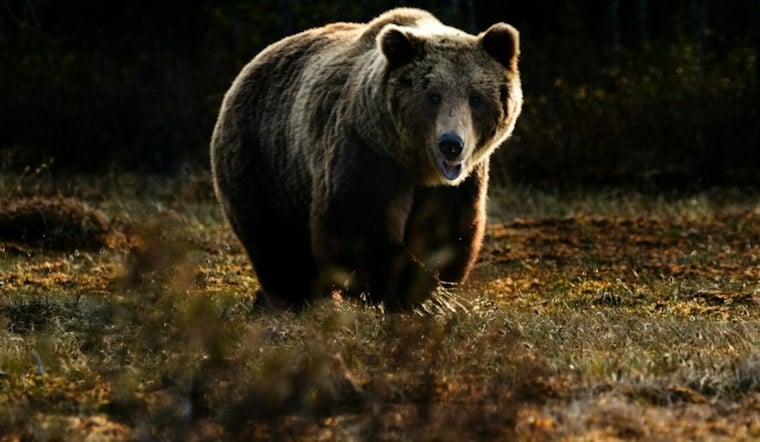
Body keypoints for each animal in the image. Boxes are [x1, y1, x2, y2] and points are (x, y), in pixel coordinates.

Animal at [210, 7, 522, 309]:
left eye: (475, 98)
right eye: (433, 96)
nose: (451, 145)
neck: (415, 163)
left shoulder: (458, 183)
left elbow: (446, 230)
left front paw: (432, 291)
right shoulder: (366, 151)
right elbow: (356, 224)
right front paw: (417, 293)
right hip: (264, 161)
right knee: (277, 241)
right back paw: (295, 298)